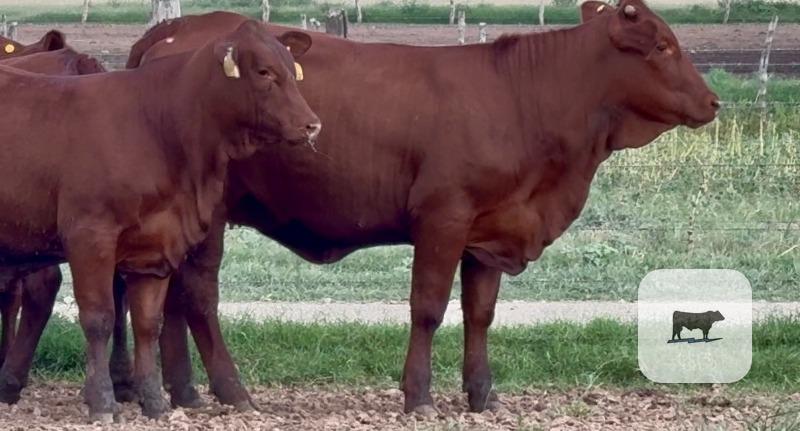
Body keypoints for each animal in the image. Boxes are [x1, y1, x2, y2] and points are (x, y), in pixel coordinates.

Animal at [0, 20, 319, 421]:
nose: (312, 125)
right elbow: (99, 316)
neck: (157, 126)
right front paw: (102, 400)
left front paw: (153, 401)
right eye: (264, 72)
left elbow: (148, 324)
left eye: (294, 72)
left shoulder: (155, 246)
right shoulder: (89, 236)